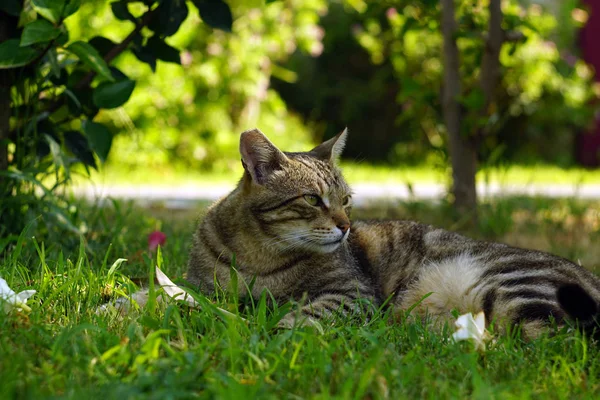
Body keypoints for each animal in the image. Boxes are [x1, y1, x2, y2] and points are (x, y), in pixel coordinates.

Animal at [188, 129, 600, 338]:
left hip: (511, 288)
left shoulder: (351, 294)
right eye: (313, 199)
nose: (345, 226)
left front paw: (267, 331)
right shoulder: (201, 287)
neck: (257, 255)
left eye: (346, 201)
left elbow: (303, 316)